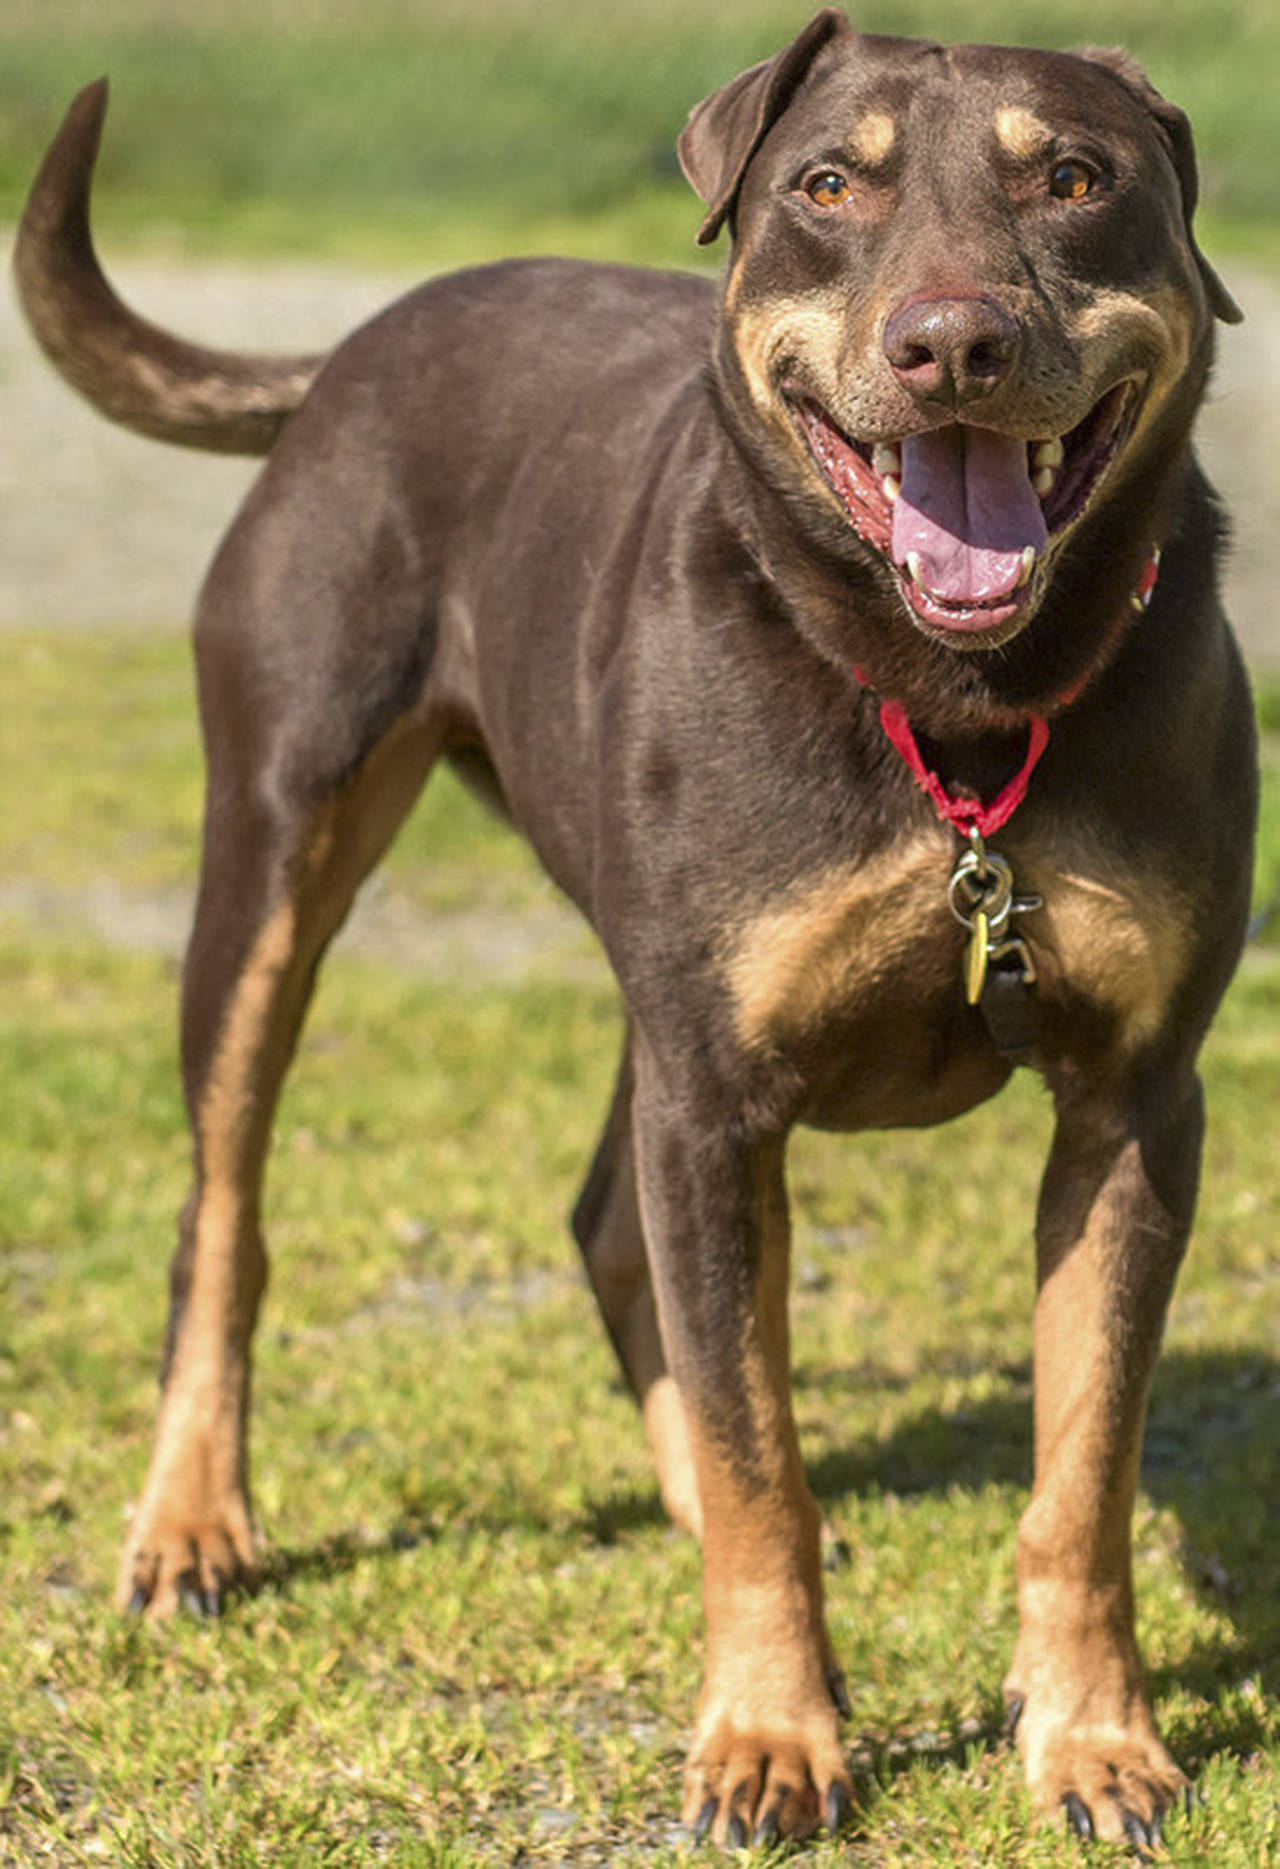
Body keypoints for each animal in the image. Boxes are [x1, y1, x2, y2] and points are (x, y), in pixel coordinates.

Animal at [17, 10, 1248, 1854]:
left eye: (1079, 179)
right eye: (829, 187)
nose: (952, 342)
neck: (958, 709)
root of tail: (355, 346)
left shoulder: (1135, 1102)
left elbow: (1081, 1466)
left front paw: (1095, 1740)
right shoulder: (719, 1092)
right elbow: (760, 1447)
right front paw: (768, 1737)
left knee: (611, 1222)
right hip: (276, 850)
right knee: (223, 1213)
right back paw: (191, 1527)